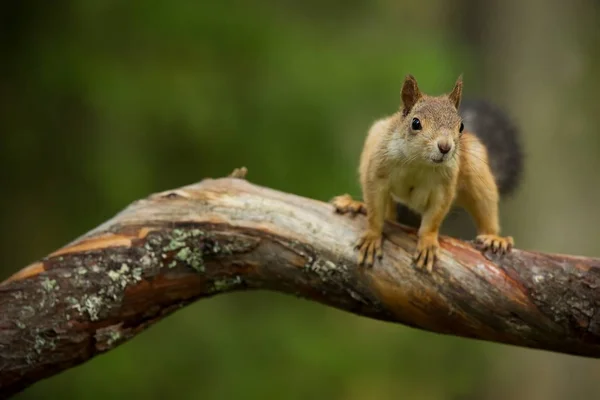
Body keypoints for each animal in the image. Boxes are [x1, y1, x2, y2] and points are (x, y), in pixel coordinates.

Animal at [330, 75, 524, 272]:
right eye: (415, 123)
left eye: (461, 126)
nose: (445, 147)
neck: (419, 162)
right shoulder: (377, 174)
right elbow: (375, 212)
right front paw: (371, 237)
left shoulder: (444, 188)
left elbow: (433, 219)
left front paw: (427, 244)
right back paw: (355, 204)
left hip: (478, 173)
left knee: (485, 208)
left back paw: (494, 239)